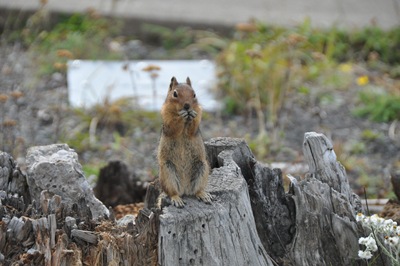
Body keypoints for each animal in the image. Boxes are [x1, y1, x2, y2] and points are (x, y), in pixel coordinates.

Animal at [156, 77, 212, 208]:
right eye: (175, 94)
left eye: (194, 94)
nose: (187, 106)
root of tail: (185, 189)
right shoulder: (167, 118)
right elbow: (174, 126)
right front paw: (181, 117)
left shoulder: (198, 114)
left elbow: (193, 127)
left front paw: (192, 115)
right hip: (168, 172)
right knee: (172, 192)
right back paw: (177, 199)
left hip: (202, 167)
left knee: (196, 190)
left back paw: (203, 195)